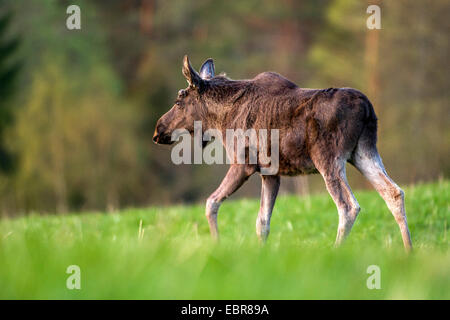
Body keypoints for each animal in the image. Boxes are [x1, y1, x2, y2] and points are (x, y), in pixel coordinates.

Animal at [153, 56, 414, 250]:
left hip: (328, 159)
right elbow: (262, 222)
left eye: (178, 101)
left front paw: (217, 245)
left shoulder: (243, 163)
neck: (220, 120)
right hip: (363, 152)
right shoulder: (270, 172)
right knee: (394, 192)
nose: (158, 130)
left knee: (349, 206)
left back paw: (335, 251)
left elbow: (211, 203)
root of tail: (367, 108)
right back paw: (408, 250)